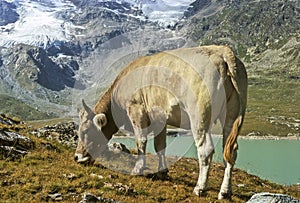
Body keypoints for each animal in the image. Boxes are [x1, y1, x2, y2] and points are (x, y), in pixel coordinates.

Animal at [75, 45, 248, 199]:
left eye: (85, 131)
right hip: (232, 116)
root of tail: (222, 51)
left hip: (200, 116)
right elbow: (160, 145)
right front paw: (162, 171)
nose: (76, 157)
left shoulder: (136, 110)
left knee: (205, 149)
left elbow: (141, 141)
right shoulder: (159, 119)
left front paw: (138, 169)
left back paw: (200, 188)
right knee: (231, 150)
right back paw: (225, 192)